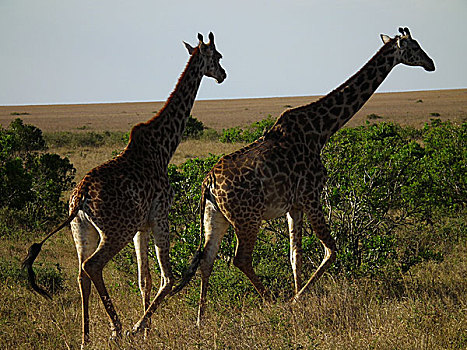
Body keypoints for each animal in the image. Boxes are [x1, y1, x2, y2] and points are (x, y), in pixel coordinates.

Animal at [22, 32, 227, 348]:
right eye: (217, 56)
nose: (223, 75)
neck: (163, 147)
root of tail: (79, 198)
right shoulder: (160, 215)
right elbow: (167, 278)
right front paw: (138, 327)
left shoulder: (141, 226)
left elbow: (145, 279)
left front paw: (148, 329)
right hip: (115, 230)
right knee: (93, 266)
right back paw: (116, 329)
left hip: (82, 231)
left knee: (81, 274)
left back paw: (86, 337)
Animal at [174, 26, 436, 324]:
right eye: (414, 47)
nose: (431, 63)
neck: (321, 130)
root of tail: (208, 182)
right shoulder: (312, 195)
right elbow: (330, 249)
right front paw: (296, 299)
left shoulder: (294, 205)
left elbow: (294, 256)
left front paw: (298, 295)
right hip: (247, 218)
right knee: (240, 259)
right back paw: (271, 301)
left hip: (214, 216)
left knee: (207, 259)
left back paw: (200, 319)